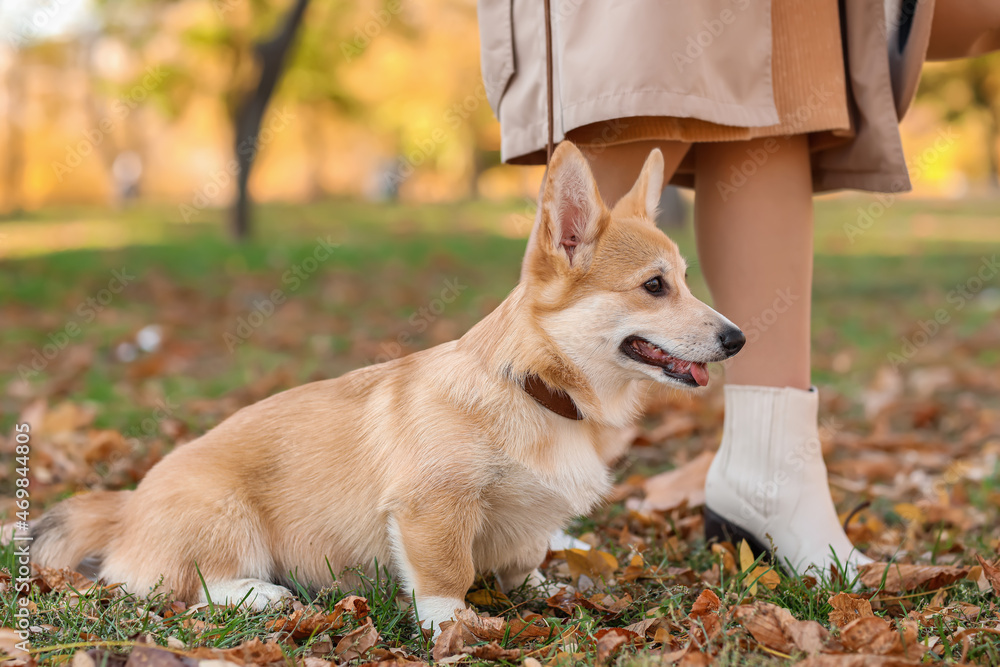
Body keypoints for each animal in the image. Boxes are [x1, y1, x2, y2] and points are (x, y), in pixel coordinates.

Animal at [33, 142, 744, 636]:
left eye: (685, 279)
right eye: (654, 286)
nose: (738, 338)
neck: (539, 389)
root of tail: (125, 507)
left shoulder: (524, 523)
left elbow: (525, 558)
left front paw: (546, 586)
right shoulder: (432, 506)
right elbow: (446, 573)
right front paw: (453, 626)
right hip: (226, 517)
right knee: (193, 586)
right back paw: (263, 594)